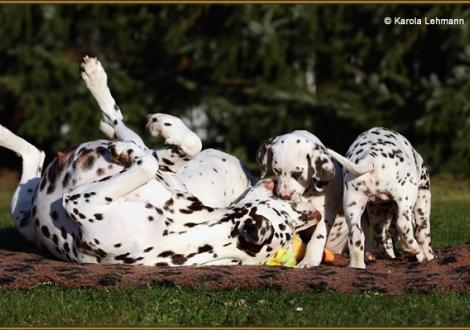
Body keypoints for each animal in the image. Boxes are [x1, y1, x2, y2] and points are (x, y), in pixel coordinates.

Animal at [0, 56, 320, 266]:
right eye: (287, 212)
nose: (310, 212)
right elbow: (184, 145)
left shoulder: (81, 203)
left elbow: (146, 163)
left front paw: (127, 153)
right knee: (126, 126)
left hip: (21, 208)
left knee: (35, 152)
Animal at [258, 130, 348, 266]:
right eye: (276, 171)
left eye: (297, 173)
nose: (284, 196)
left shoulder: (325, 214)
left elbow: (317, 238)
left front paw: (310, 260)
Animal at [328, 127, 436, 270]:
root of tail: (371, 158)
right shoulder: (423, 194)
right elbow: (423, 229)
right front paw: (429, 256)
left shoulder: (375, 210)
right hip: (405, 197)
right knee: (404, 226)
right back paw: (415, 250)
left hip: (353, 205)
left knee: (357, 235)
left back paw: (358, 266)